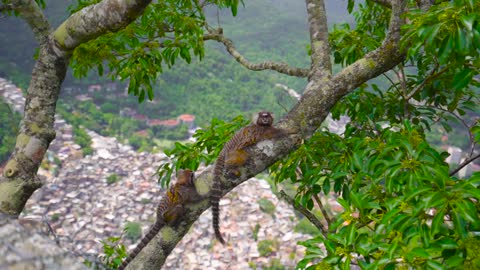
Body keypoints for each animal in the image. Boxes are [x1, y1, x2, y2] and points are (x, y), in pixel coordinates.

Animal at [209, 110, 284, 244]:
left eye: (267, 117)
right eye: (263, 118)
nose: (265, 120)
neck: (261, 125)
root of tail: (224, 149)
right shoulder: (261, 130)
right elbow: (272, 133)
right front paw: (288, 131)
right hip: (232, 154)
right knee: (243, 155)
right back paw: (231, 167)